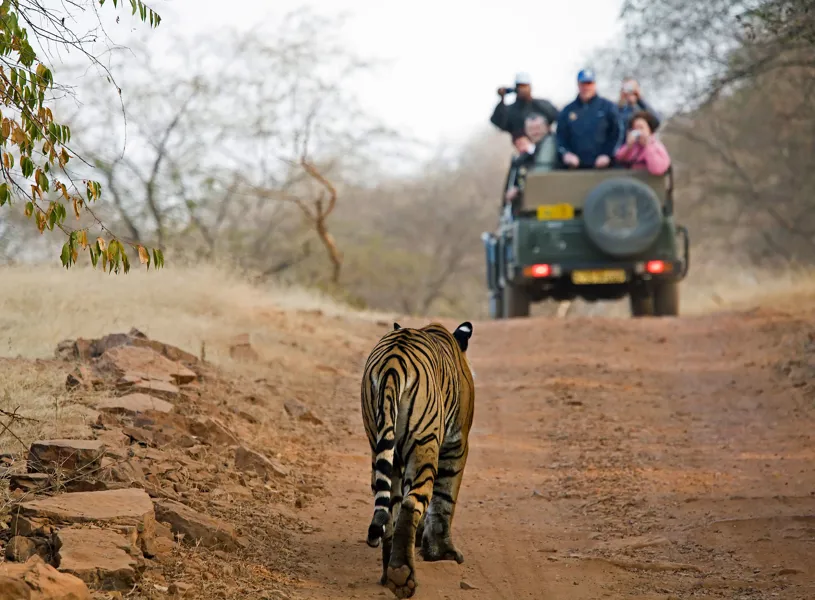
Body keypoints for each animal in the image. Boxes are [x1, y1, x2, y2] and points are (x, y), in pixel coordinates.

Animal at [360, 320, 475, 599]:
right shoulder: (456, 444)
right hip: (424, 444)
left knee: (390, 508)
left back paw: (390, 574)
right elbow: (444, 500)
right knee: (412, 502)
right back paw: (402, 576)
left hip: (381, 443)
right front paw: (442, 552)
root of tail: (392, 363)